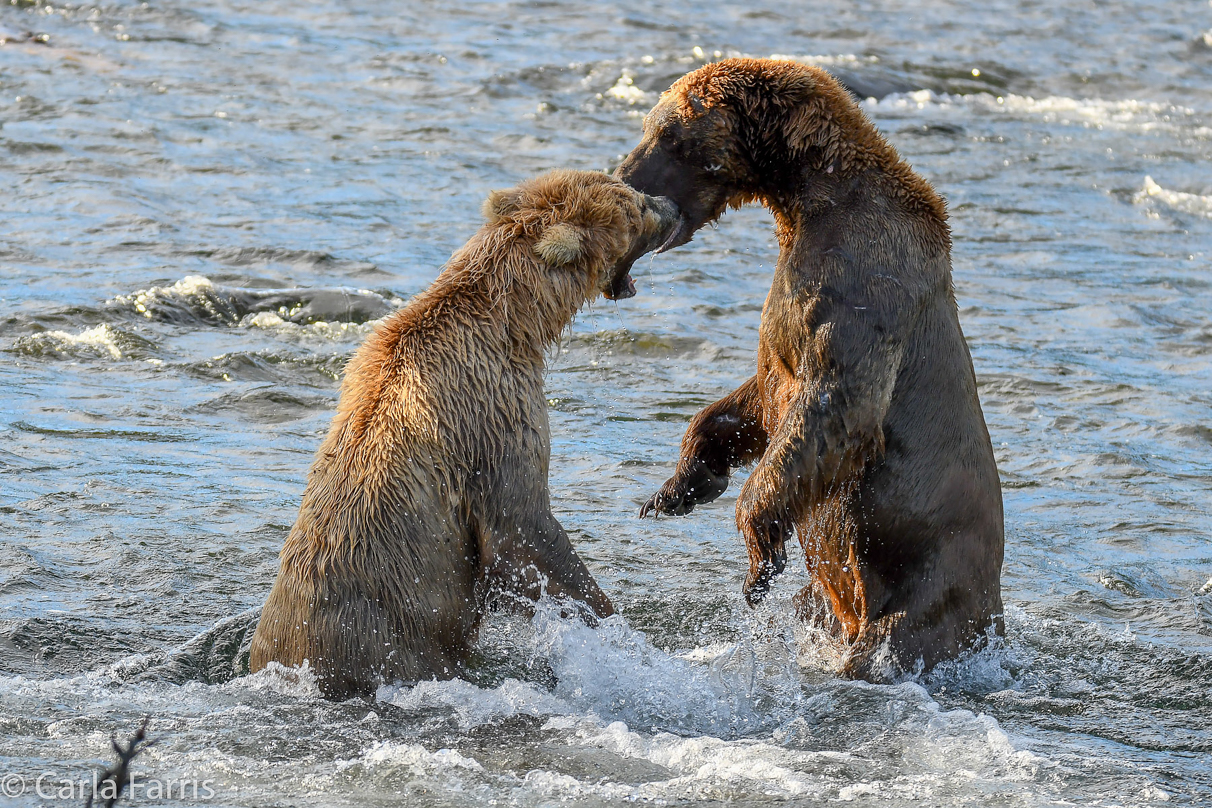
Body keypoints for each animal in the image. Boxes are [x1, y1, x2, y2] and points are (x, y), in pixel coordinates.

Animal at [248, 169, 683, 697]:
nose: (672, 205)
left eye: (630, 190)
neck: (514, 325)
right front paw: (614, 629)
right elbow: (524, 531)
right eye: (635, 208)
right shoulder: (494, 417)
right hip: (386, 643)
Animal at [615, 58, 1003, 678]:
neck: (806, 200)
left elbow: (833, 405)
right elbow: (758, 394)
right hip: (836, 599)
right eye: (653, 125)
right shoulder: (788, 318)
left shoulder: (859, 284)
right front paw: (677, 488)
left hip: (931, 582)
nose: (625, 176)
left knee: (895, 637)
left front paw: (758, 556)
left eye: (669, 134)